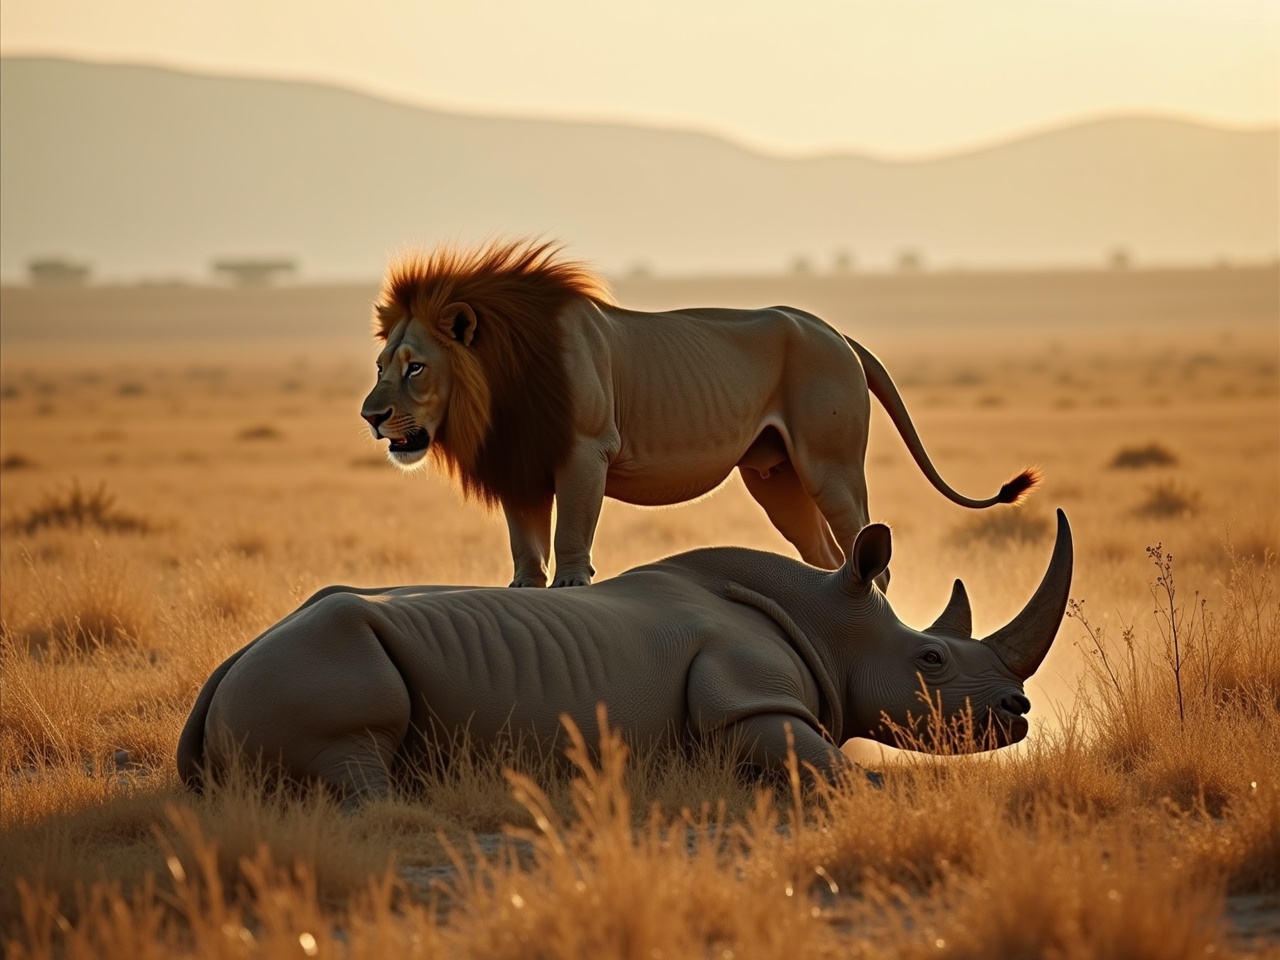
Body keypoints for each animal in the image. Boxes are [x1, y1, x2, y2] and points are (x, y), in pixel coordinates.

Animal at [175, 512, 1075, 798]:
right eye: (931, 659)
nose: (1019, 711)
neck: (826, 616)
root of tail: (222, 671)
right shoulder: (749, 695)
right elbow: (825, 763)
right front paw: (884, 789)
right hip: (321, 655)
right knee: (356, 744)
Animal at [360, 236, 1039, 591]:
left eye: (416, 368)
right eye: (381, 365)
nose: (370, 416)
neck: (500, 386)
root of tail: (834, 331)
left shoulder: (585, 451)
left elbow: (571, 536)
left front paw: (572, 587)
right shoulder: (519, 464)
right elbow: (525, 545)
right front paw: (524, 591)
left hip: (831, 468)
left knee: (871, 560)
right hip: (775, 479)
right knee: (824, 557)